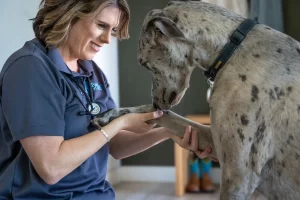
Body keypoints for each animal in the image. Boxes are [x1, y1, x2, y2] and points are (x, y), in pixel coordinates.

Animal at [93, 0, 300, 200]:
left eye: (144, 63)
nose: (157, 103)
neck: (232, 48)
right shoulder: (214, 141)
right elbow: (162, 115)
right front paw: (111, 115)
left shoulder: (238, 176)